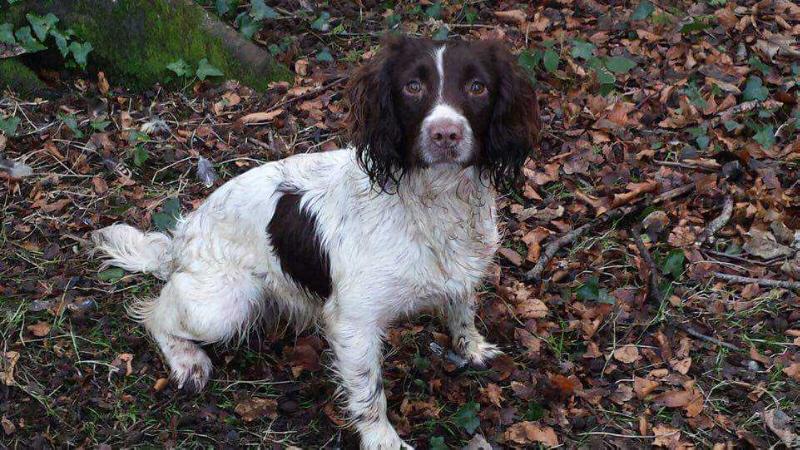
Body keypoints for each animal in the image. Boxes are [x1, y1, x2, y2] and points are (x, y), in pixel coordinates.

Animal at [95, 36, 544, 450]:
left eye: (477, 87)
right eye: (413, 86)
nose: (445, 134)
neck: (435, 201)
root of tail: (183, 236)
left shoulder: (461, 273)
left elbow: (462, 311)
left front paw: (471, 348)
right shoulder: (353, 323)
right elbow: (369, 394)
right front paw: (383, 440)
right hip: (223, 304)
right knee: (156, 313)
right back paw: (188, 362)